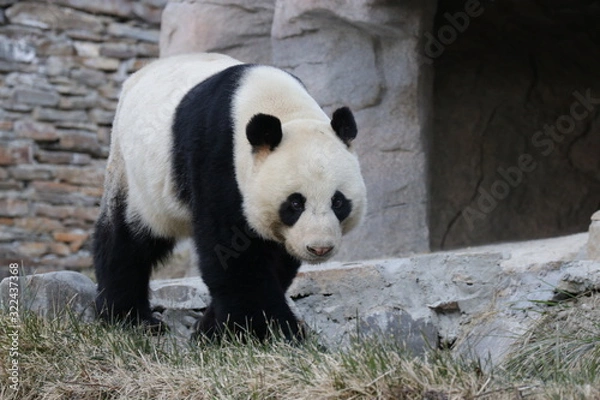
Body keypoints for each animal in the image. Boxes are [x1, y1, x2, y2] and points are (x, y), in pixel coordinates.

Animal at [93, 52, 366, 340]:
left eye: (338, 201)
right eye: (295, 202)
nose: (319, 248)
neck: (280, 105)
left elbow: (276, 258)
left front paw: (210, 329)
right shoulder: (219, 156)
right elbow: (231, 250)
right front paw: (270, 332)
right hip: (132, 171)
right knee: (127, 238)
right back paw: (129, 318)